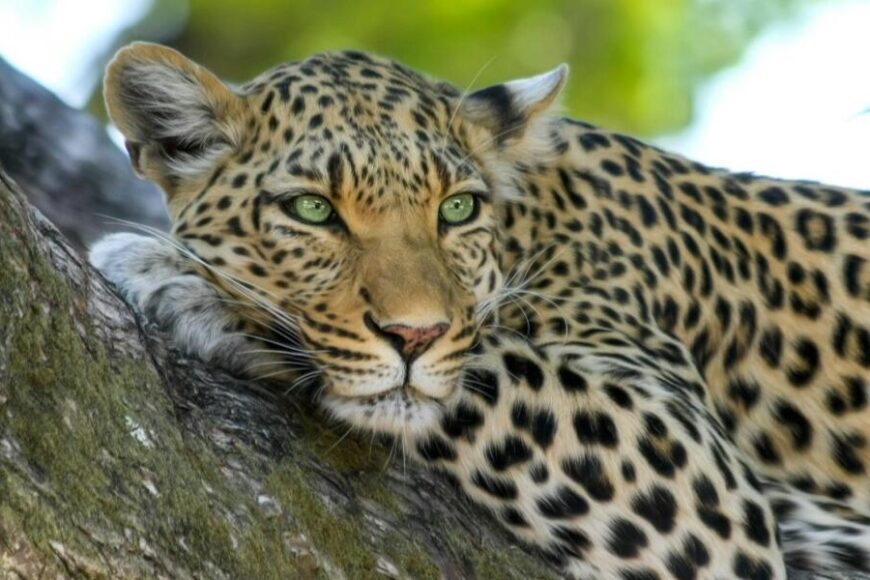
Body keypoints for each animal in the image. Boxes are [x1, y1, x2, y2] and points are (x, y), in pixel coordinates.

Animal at [89, 42, 870, 579]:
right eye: (312, 210)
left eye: (457, 209)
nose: (414, 335)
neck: (534, 222)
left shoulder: (699, 476)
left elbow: (485, 367)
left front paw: (181, 281)